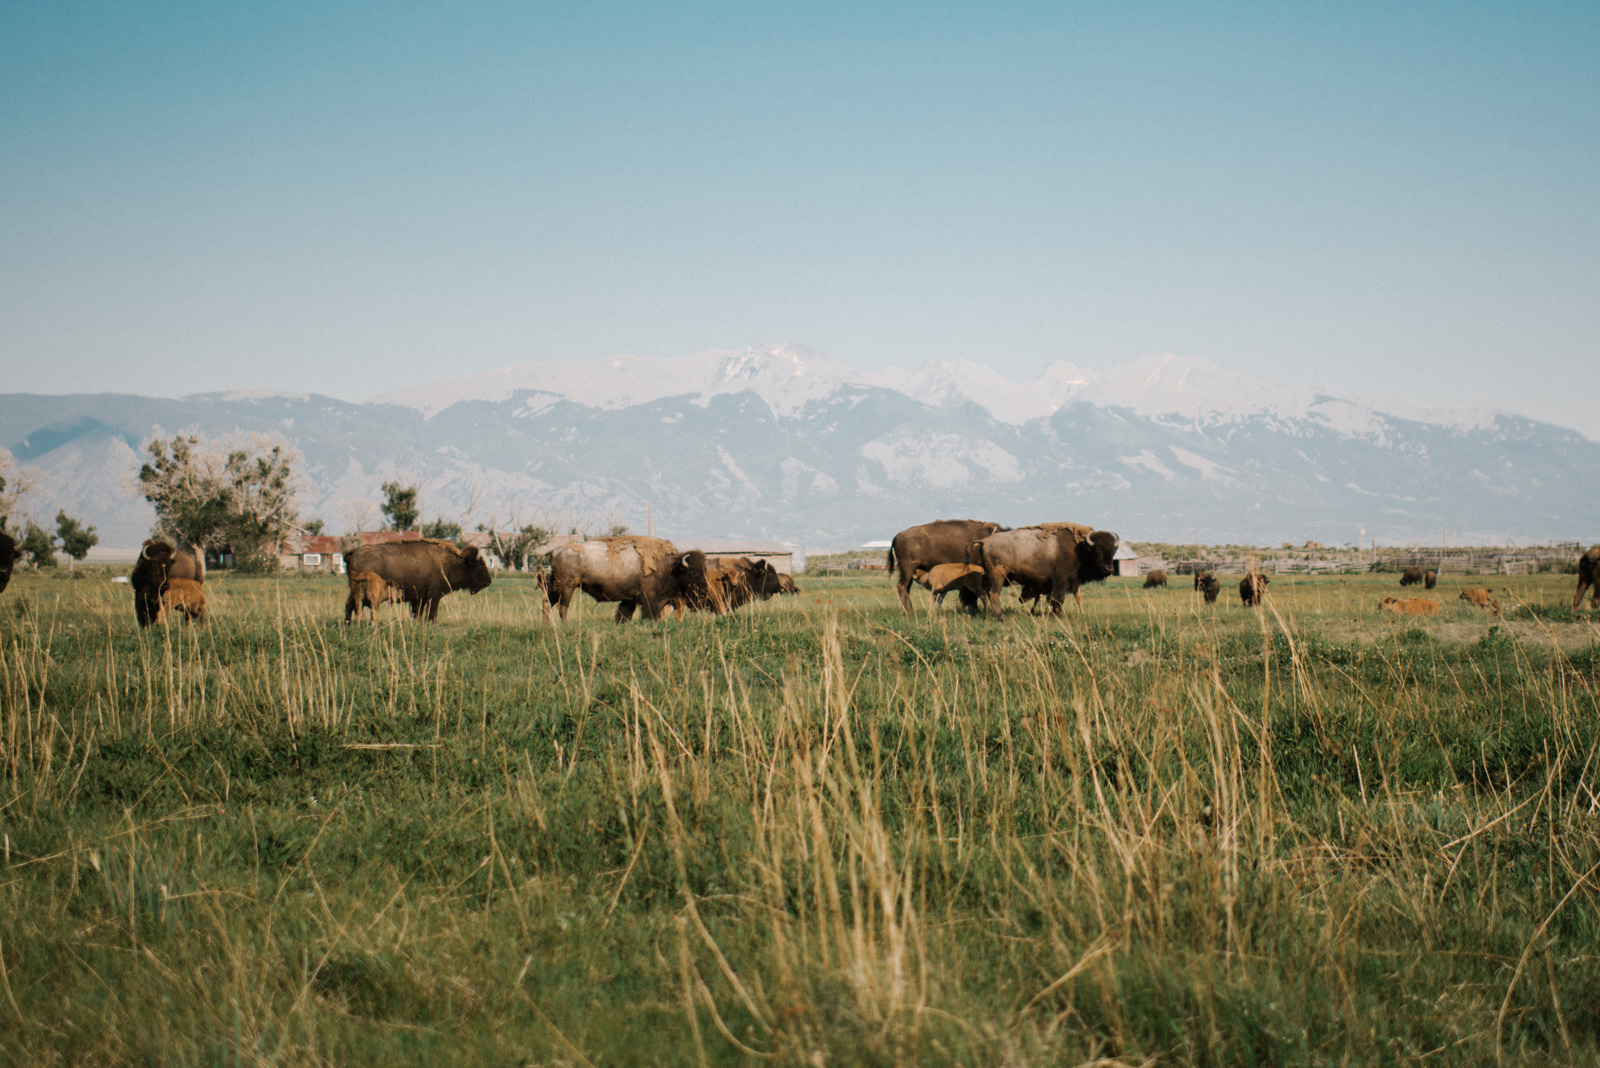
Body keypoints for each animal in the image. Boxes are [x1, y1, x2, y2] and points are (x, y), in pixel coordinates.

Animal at [343, 539, 492, 622]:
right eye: (480, 566)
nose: (489, 582)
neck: (447, 563)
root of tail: (354, 553)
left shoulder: (420, 597)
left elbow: (418, 611)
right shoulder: (433, 595)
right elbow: (431, 612)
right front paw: (430, 623)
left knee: (349, 606)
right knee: (353, 607)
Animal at [546, 536, 708, 623]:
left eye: (704, 571)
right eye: (692, 573)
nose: (704, 592)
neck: (670, 567)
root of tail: (556, 551)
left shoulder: (630, 599)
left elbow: (623, 616)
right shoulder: (648, 598)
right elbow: (650, 615)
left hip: (555, 587)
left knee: (546, 604)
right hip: (568, 587)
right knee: (562, 608)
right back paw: (565, 625)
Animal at [968, 525, 1119, 616]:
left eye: (1113, 551)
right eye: (1097, 551)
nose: (1109, 569)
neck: (1081, 548)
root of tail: (985, 541)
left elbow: (1051, 598)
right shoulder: (1061, 579)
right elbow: (1059, 598)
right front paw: (1060, 615)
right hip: (998, 576)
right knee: (993, 594)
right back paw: (1001, 617)